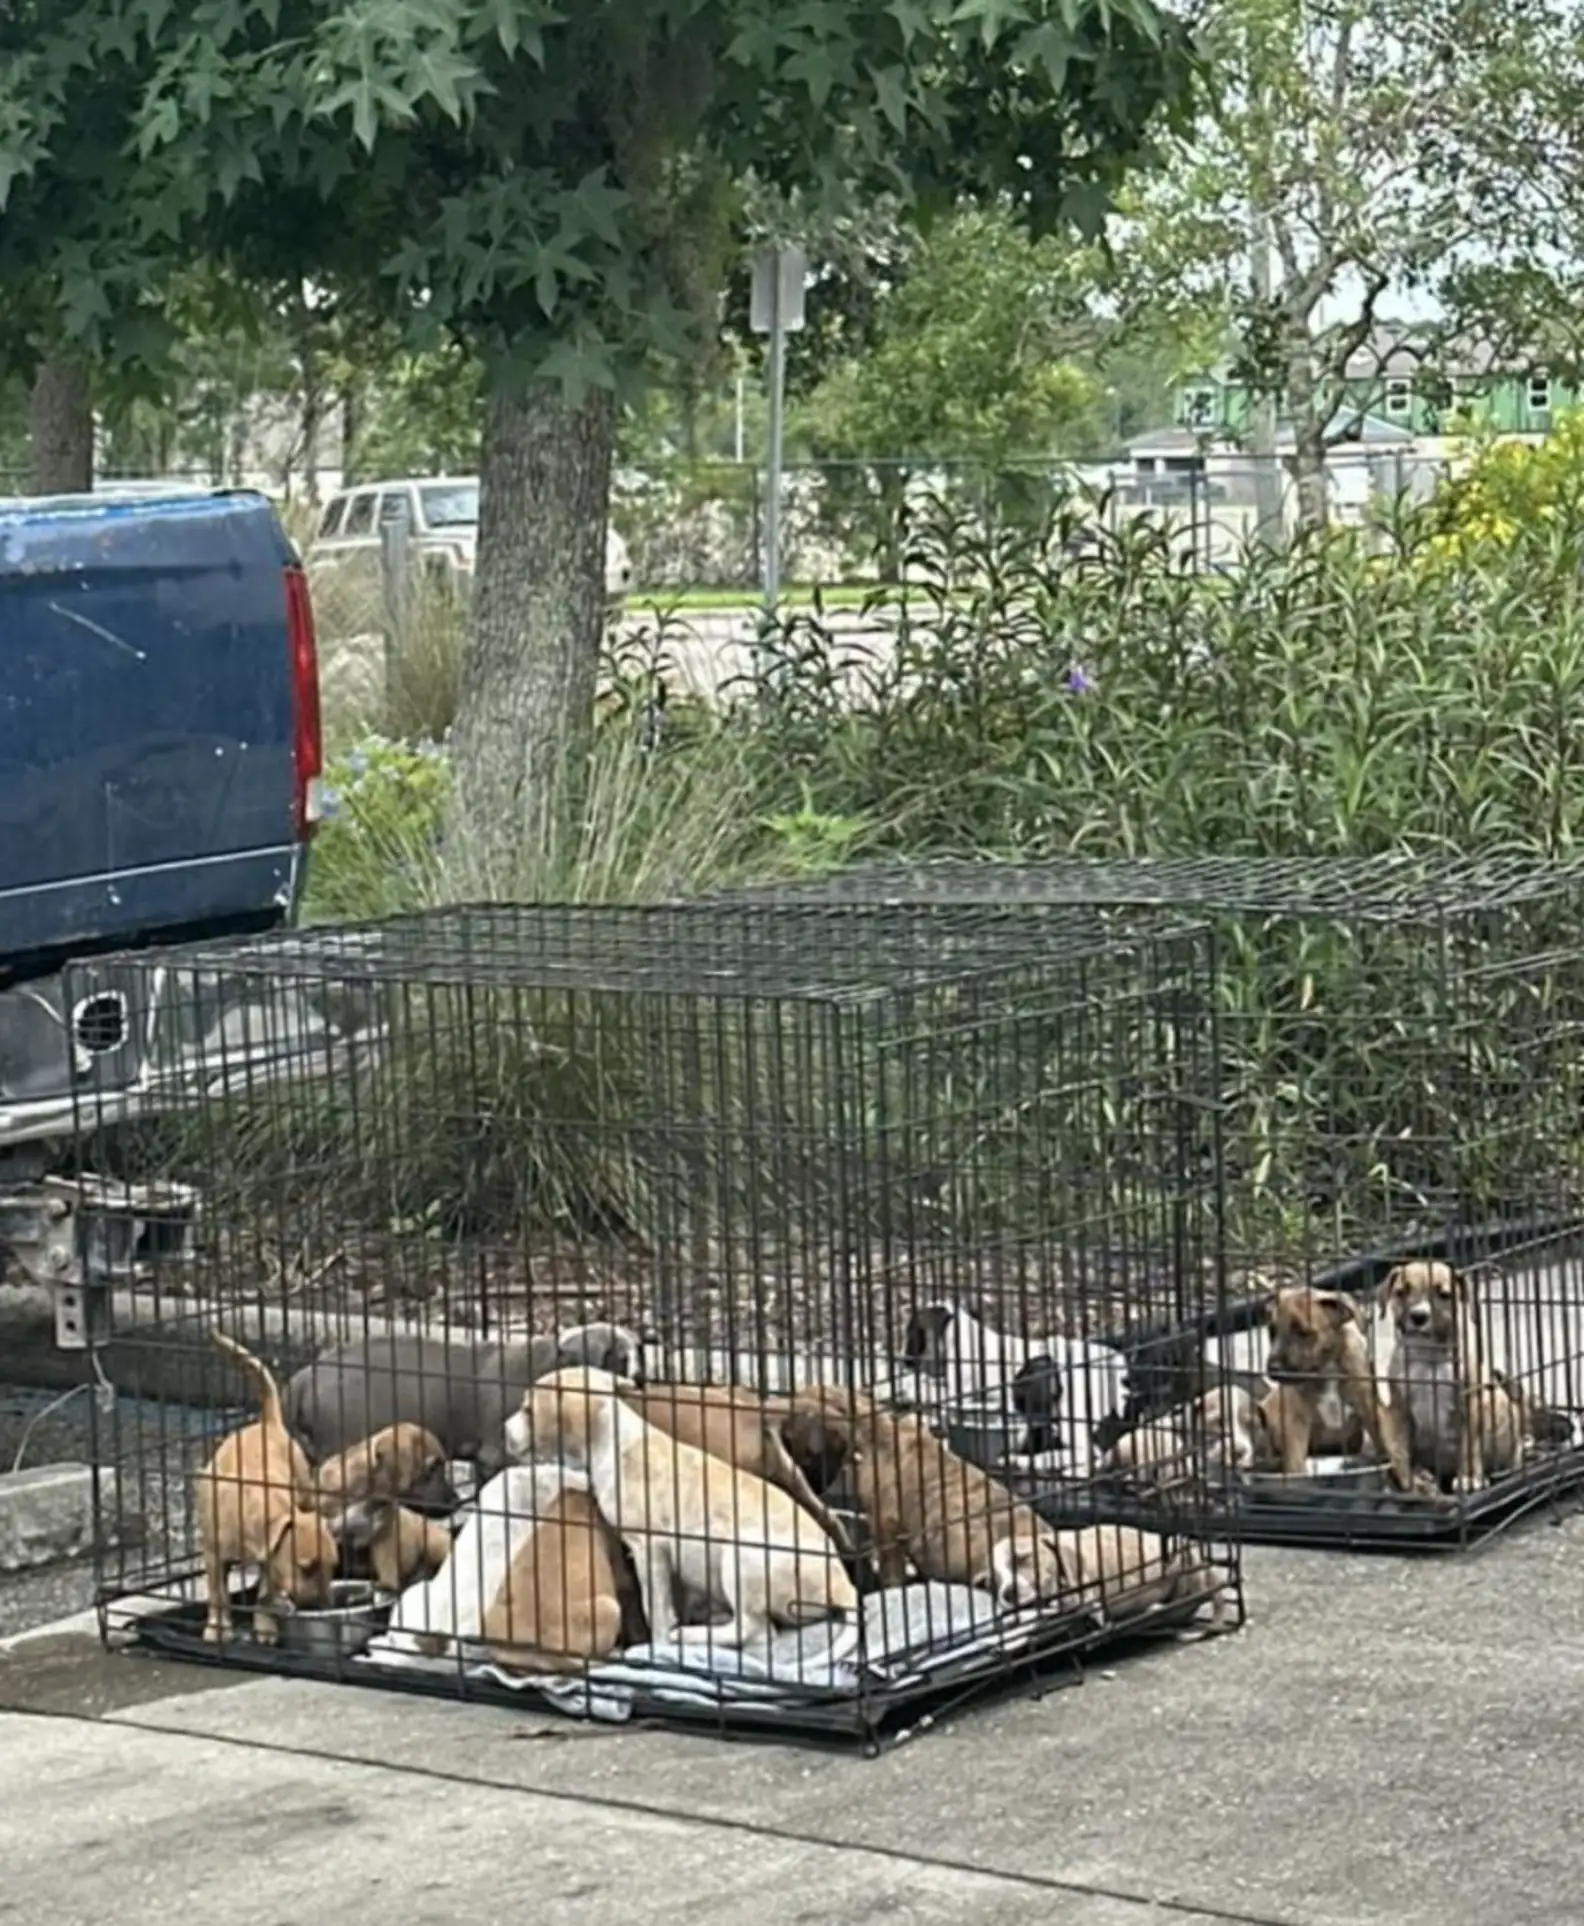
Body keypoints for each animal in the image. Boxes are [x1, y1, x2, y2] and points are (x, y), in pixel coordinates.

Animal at [195, 1332, 341, 1648]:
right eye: (307, 1567)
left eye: (334, 1566)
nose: (324, 1606)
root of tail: (269, 1423)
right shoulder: (213, 1554)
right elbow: (217, 1593)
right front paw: (218, 1628)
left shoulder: (271, 1563)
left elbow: (263, 1596)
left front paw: (265, 1628)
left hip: (305, 1490)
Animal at [504, 1371, 855, 1656]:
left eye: (529, 1410)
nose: (504, 1431)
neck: (615, 1441)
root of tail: (842, 1584)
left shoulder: (648, 1547)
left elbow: (655, 1609)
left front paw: (658, 1647)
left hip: (740, 1557)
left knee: (756, 1631)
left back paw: (689, 1636)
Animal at [1264, 1294, 1410, 1486]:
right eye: (1272, 1331)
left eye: (1303, 1333)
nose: (1273, 1368)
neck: (1327, 1367)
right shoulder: (1295, 1419)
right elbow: (1295, 1463)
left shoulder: (1369, 1407)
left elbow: (1385, 1440)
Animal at [1379, 1255, 1533, 1494]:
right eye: (1401, 1292)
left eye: (1444, 1295)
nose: (1418, 1316)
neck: (1428, 1358)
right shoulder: (1399, 1410)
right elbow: (1401, 1449)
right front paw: (1411, 1480)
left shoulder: (1471, 1405)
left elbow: (1469, 1446)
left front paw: (1469, 1477)